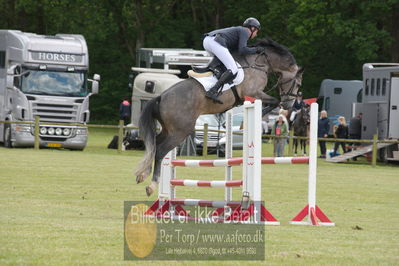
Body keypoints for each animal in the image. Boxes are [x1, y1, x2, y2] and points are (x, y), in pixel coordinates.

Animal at [136, 39, 304, 195]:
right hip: (180, 131)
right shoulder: (253, 92)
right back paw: (151, 186)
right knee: (160, 150)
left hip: (168, 130)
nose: (289, 105)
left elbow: (273, 102)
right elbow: (274, 101)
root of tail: (161, 97)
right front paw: (250, 120)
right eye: (298, 84)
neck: (260, 63)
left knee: (154, 144)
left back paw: (142, 174)